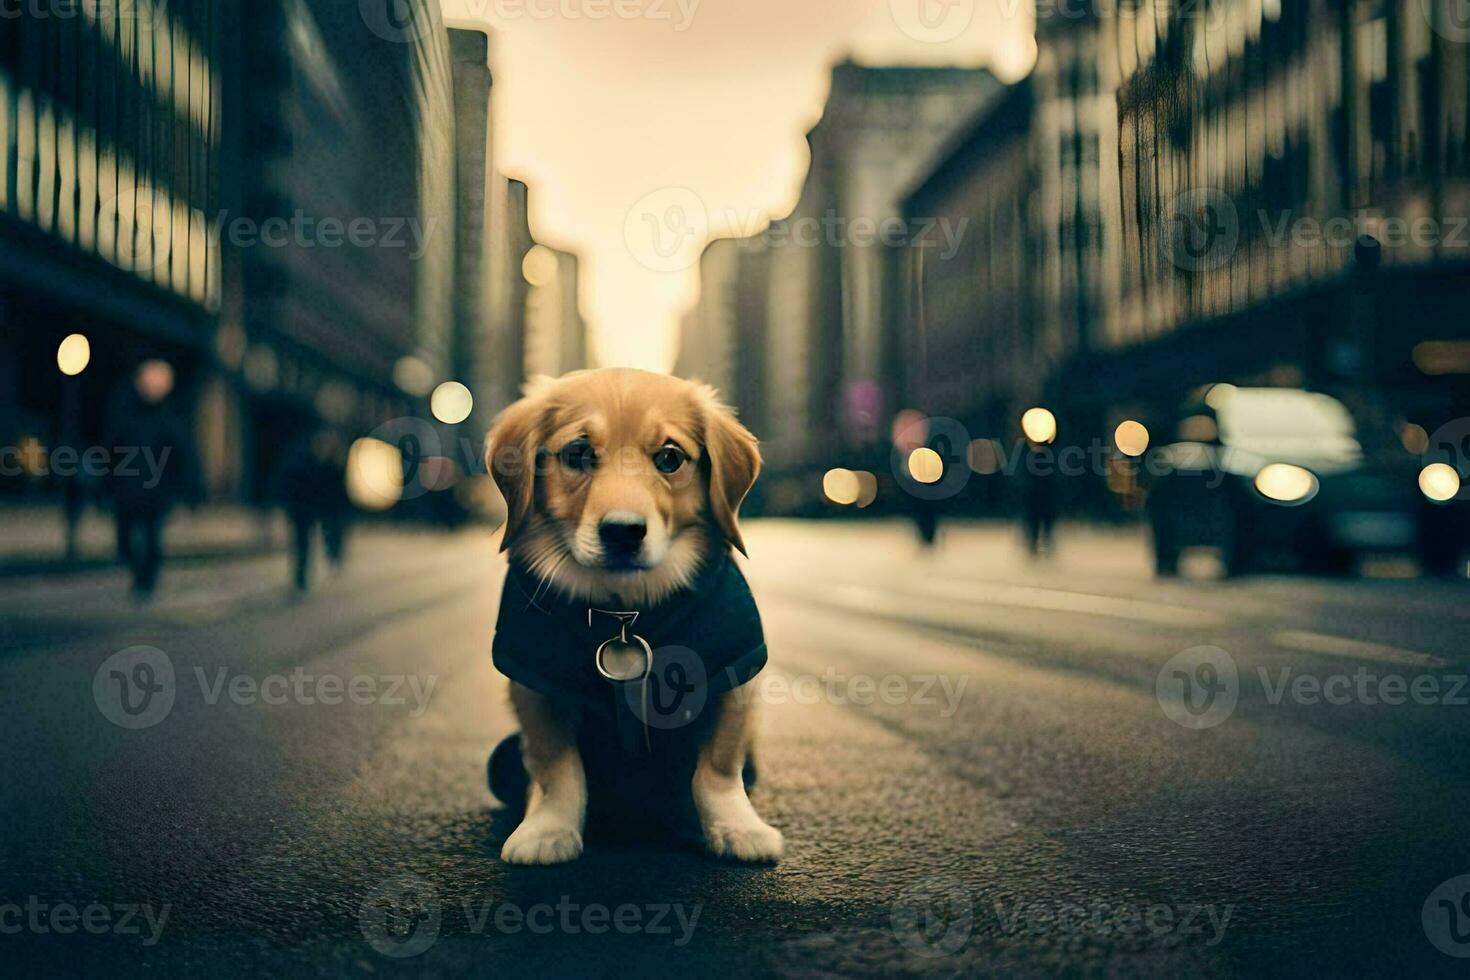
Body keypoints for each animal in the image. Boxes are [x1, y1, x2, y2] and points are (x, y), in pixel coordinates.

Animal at [482, 367, 782, 863]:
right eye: (578, 453)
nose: (623, 532)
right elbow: (555, 768)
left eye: (669, 457)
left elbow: (717, 769)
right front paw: (548, 830)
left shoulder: (731, 680)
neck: (624, 611)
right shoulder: (536, 690)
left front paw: (736, 827)